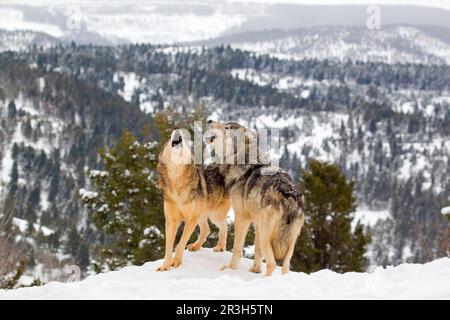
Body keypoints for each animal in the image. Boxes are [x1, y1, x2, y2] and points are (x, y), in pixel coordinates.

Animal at [156, 129, 230, 272]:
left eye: (185, 142)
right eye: (168, 140)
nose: (177, 128)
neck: (177, 185)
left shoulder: (190, 220)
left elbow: (180, 243)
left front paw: (176, 262)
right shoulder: (171, 221)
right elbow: (168, 248)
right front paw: (164, 267)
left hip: (214, 216)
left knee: (224, 226)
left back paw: (220, 247)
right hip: (202, 215)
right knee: (207, 230)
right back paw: (196, 246)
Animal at [205, 121, 304, 276]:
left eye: (227, 127)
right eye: (226, 124)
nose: (209, 121)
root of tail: (290, 196)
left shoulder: (241, 217)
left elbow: (237, 249)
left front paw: (230, 269)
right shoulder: (257, 223)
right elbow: (257, 251)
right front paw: (256, 270)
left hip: (266, 235)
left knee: (272, 264)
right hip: (288, 242)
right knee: (285, 266)